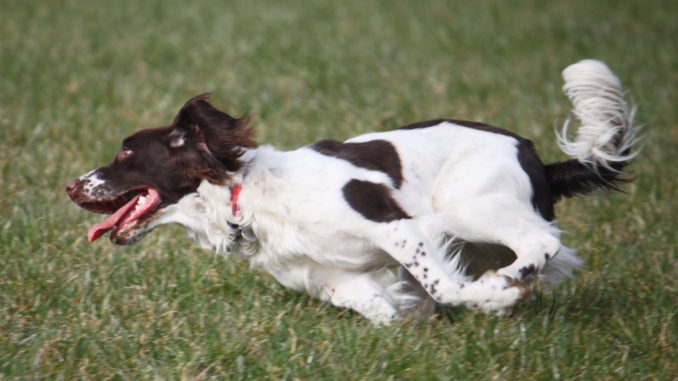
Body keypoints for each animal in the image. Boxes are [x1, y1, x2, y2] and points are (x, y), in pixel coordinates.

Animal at [67, 60, 644, 324]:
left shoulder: (397, 227)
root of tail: (537, 159)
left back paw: (505, 284)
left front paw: (493, 296)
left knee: (541, 244)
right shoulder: (336, 278)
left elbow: (442, 286)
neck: (248, 198)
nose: (71, 186)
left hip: (466, 205)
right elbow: (384, 308)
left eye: (125, 153)